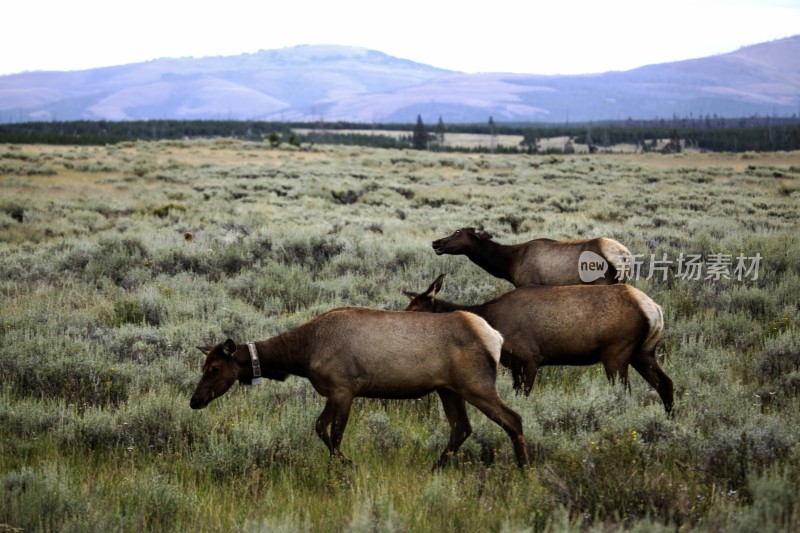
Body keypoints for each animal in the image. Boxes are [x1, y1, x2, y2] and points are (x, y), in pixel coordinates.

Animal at [189, 306, 532, 468]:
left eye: (215, 368)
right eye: (203, 367)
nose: (195, 401)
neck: (302, 355)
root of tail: (495, 337)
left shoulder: (344, 388)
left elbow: (333, 433)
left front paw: (346, 465)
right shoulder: (333, 391)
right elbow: (321, 428)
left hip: (476, 385)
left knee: (513, 419)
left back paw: (524, 470)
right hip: (448, 389)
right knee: (461, 428)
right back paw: (435, 469)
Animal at [404, 274, 672, 416]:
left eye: (416, 308)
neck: (492, 321)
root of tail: (655, 309)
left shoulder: (531, 358)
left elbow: (524, 395)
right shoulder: (514, 364)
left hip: (617, 352)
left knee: (626, 391)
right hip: (643, 352)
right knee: (665, 383)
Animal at [432, 227, 632, 286]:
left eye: (457, 232)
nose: (436, 243)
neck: (509, 263)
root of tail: (624, 255)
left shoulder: (528, 284)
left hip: (603, 282)